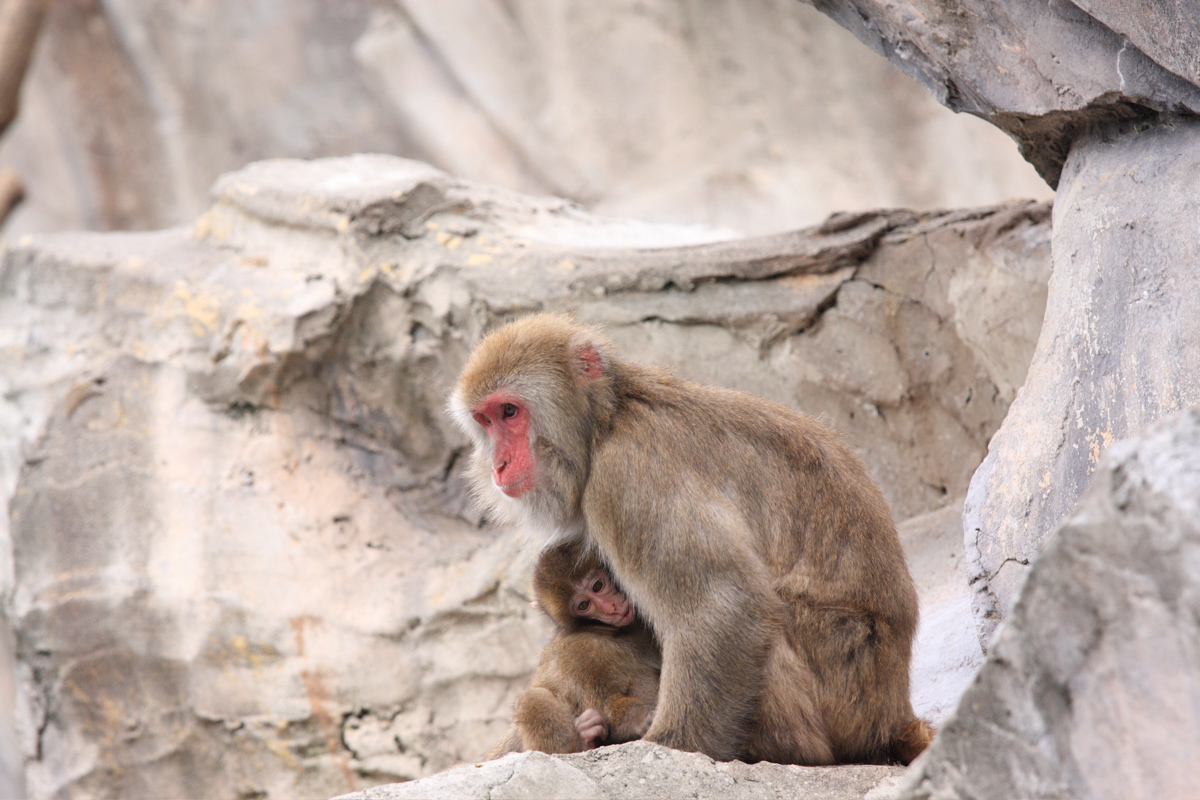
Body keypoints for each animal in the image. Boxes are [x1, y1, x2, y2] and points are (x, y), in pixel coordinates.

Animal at [487, 539, 661, 759]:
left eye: (597, 586)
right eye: (583, 605)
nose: (610, 608)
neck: (613, 631)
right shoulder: (580, 651)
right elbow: (606, 704)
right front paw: (642, 718)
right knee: (530, 699)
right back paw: (585, 741)